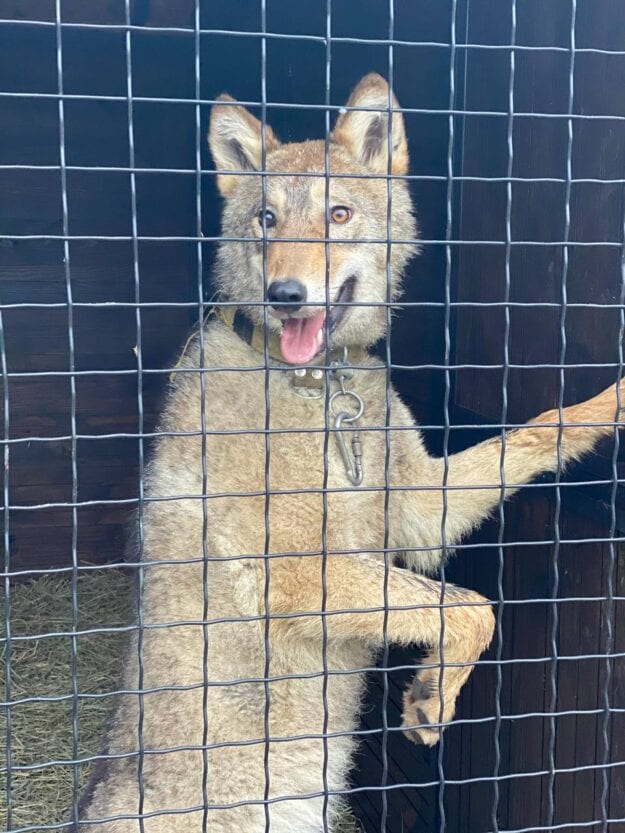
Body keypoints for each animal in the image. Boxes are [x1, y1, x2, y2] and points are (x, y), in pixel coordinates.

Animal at [79, 75, 624, 828]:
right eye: (267, 220)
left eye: (337, 214)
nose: (284, 296)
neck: (324, 387)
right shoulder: (297, 572)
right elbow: (469, 606)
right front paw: (432, 696)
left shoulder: (422, 510)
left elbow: (542, 429)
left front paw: (617, 397)